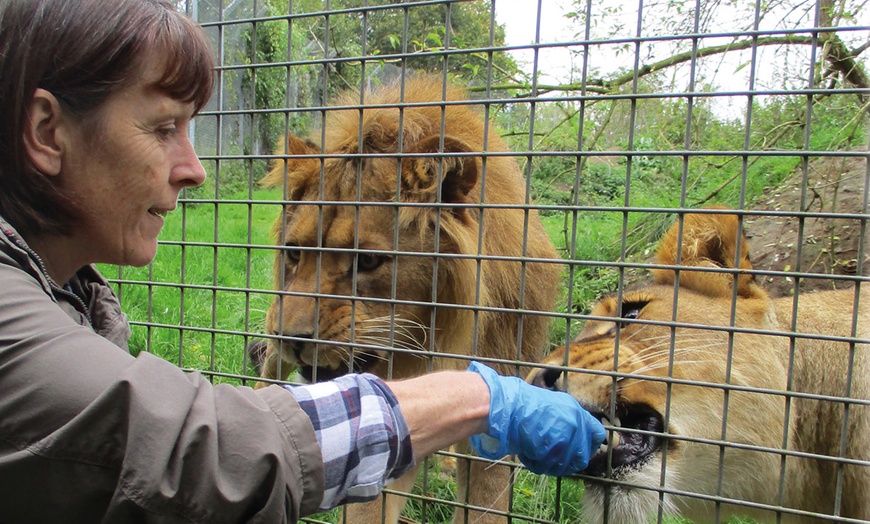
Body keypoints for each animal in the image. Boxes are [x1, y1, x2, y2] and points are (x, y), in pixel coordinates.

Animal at [255, 77, 564, 524]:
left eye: (368, 261)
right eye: (295, 253)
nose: (290, 337)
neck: (440, 339)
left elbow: (486, 502)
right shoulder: (389, 413)